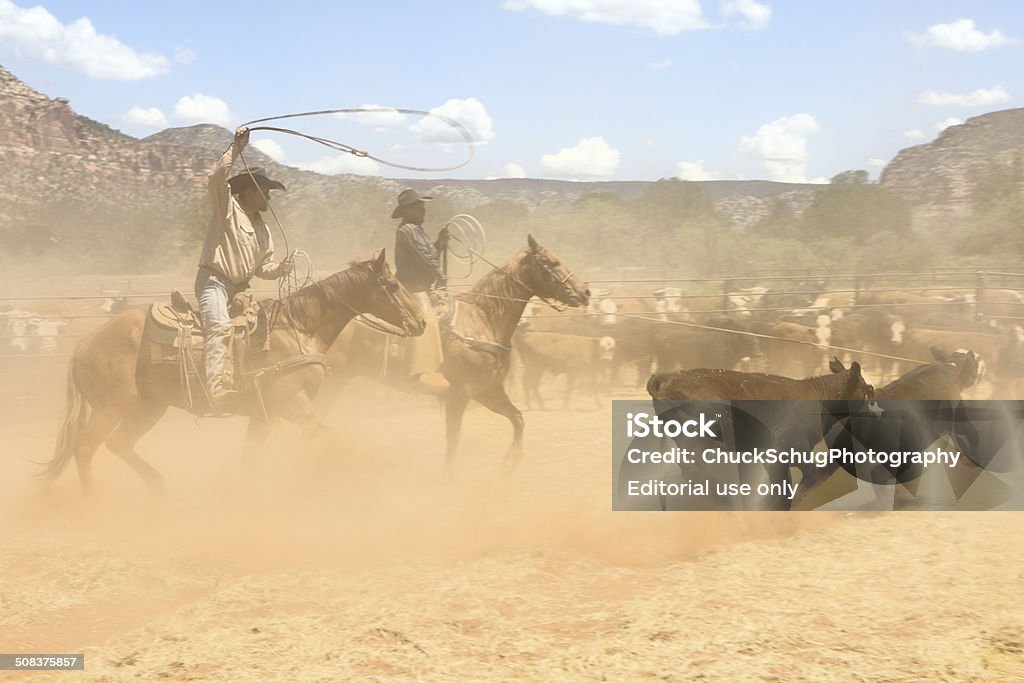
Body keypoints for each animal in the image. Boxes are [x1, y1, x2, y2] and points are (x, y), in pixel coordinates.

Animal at [38, 248, 423, 493]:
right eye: (392, 285)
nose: (420, 321)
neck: (297, 328)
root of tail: (83, 345)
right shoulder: (295, 406)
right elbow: (333, 440)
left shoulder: (264, 416)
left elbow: (249, 460)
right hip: (112, 408)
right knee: (85, 447)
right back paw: (95, 503)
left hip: (148, 407)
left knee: (117, 444)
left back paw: (157, 486)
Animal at [327, 235, 589, 471]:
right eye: (552, 262)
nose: (585, 292)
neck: (482, 319)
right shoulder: (460, 393)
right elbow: (453, 437)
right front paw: (451, 477)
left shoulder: (488, 391)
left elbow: (517, 418)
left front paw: (509, 462)